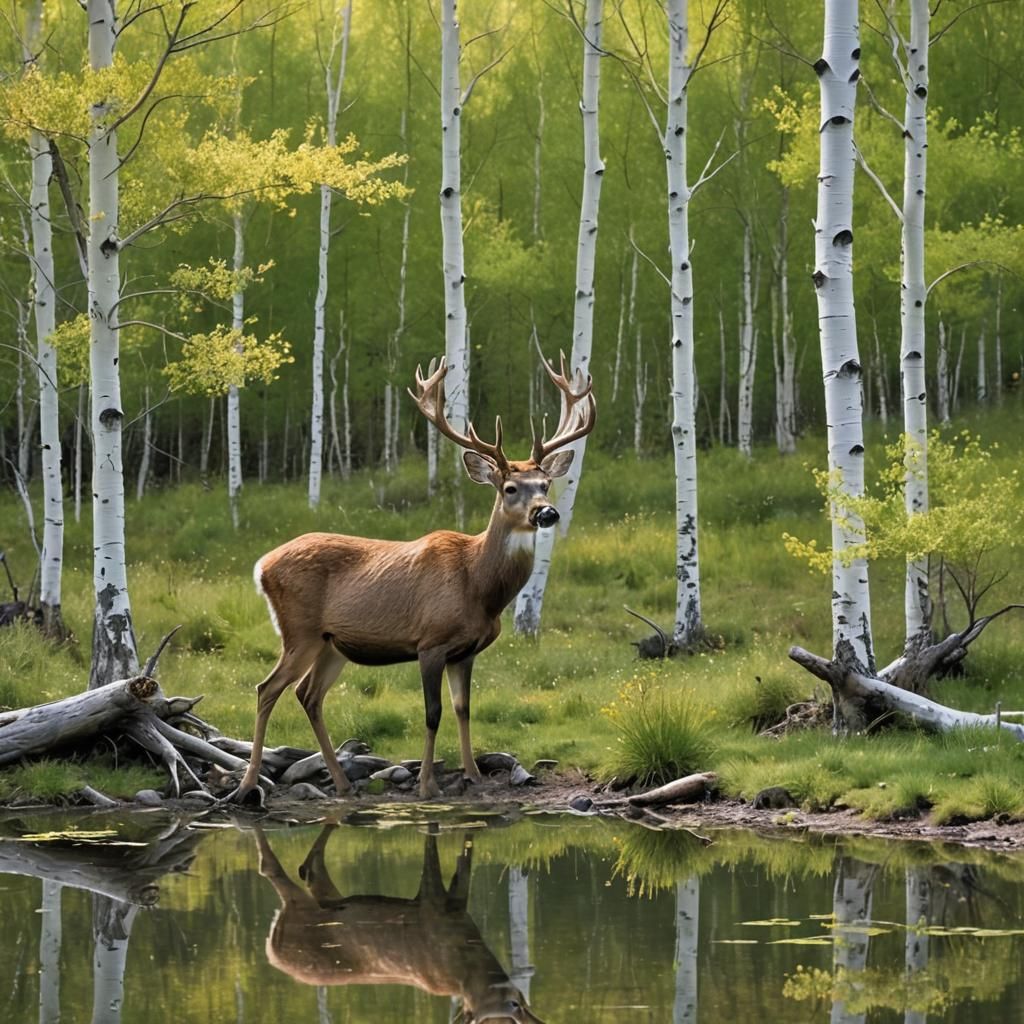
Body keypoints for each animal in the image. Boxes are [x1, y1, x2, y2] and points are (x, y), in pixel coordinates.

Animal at [231, 352, 596, 803]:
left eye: (545, 483)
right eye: (510, 487)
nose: (547, 512)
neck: (479, 588)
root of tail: (261, 566)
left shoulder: (466, 650)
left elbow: (463, 708)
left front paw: (472, 774)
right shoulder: (430, 642)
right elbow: (432, 713)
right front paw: (427, 784)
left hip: (332, 643)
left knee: (308, 695)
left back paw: (341, 782)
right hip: (299, 630)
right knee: (267, 689)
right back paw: (248, 785)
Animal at [255, 824, 545, 1023]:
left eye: (520, 1004)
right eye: (513, 1005)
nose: (532, 1014)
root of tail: (272, 950)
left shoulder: (456, 907)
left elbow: (464, 867)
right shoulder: (431, 905)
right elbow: (433, 859)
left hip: (322, 897)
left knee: (312, 872)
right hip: (300, 910)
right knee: (273, 871)